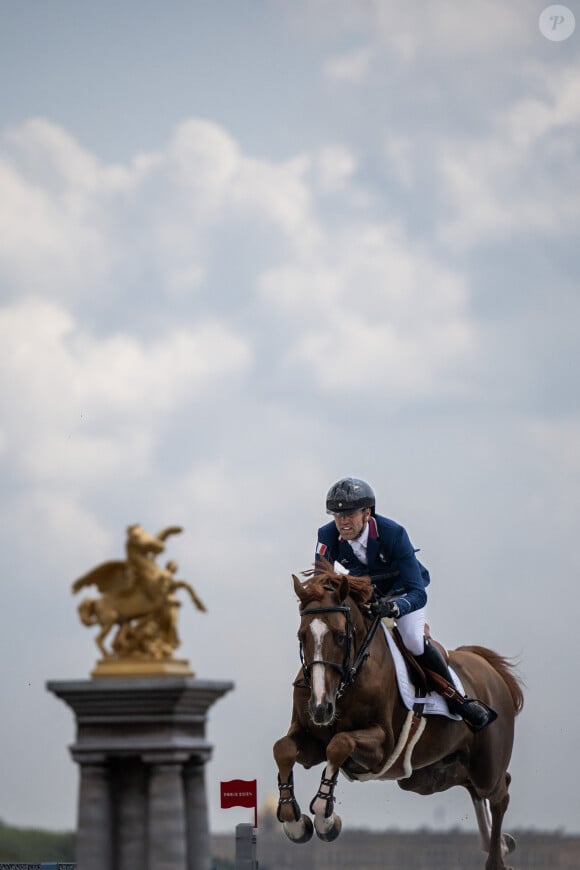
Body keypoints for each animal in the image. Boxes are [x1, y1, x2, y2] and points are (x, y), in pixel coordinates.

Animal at [274, 568, 524, 868]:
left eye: (340, 636)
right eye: (302, 636)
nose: (320, 708)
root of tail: (489, 667)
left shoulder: (382, 747)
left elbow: (340, 743)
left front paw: (325, 818)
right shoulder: (311, 741)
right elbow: (283, 749)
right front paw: (294, 823)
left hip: (485, 765)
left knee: (499, 792)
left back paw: (497, 857)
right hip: (425, 775)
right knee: (471, 787)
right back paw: (501, 844)